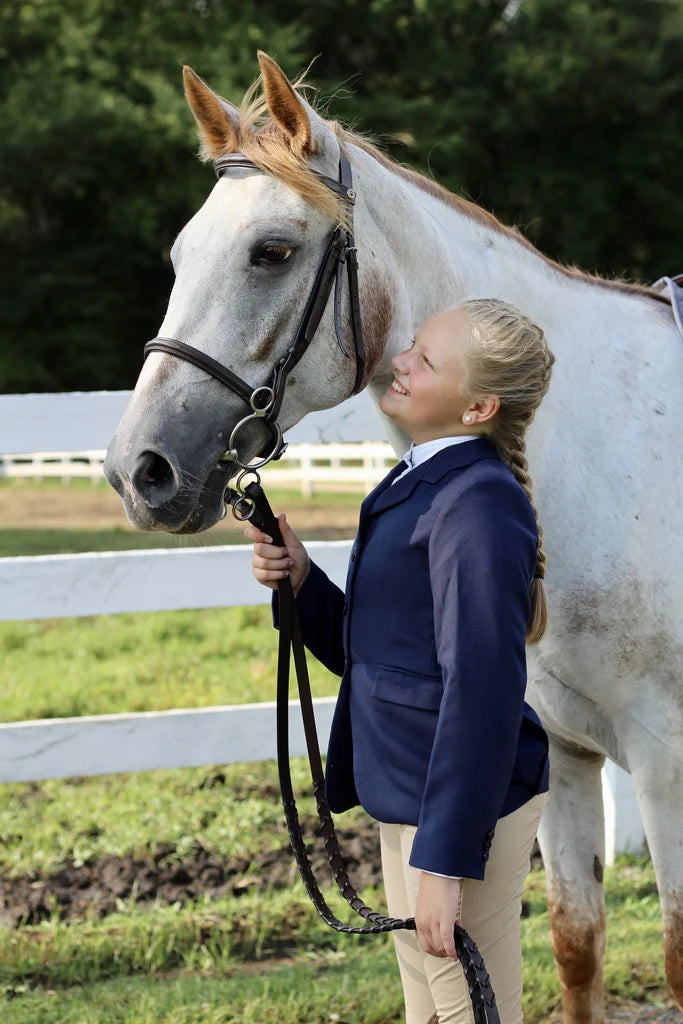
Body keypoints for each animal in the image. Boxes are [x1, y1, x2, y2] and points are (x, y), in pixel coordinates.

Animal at [102, 51, 683, 1019]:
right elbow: (576, 947)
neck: (610, 457)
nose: (138, 470)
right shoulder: (568, 754)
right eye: (181, 254)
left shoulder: (664, 762)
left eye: (272, 251)